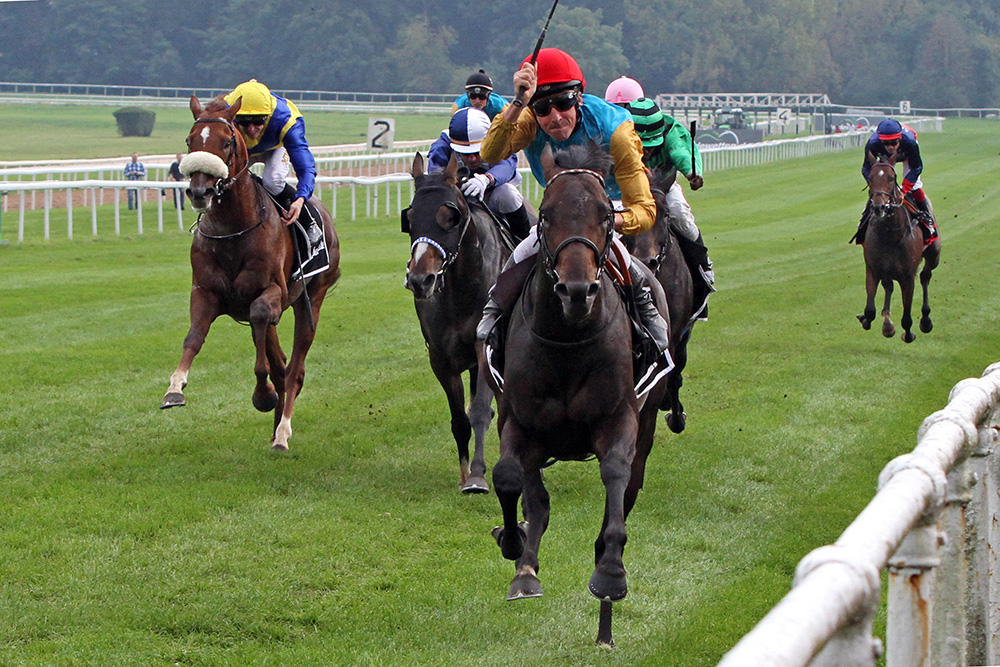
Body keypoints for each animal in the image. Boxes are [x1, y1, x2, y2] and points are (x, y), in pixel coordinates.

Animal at [159, 94, 340, 452]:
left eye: (227, 142)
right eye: (190, 140)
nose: (199, 192)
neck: (234, 229)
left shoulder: (271, 294)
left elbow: (262, 345)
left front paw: (263, 395)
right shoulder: (205, 292)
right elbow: (193, 337)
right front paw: (174, 388)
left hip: (311, 298)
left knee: (294, 367)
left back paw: (282, 432)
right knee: (280, 363)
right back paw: (275, 428)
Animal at [400, 154, 508, 494]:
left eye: (451, 216)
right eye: (410, 217)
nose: (420, 280)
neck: (463, 287)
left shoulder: (485, 348)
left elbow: (480, 412)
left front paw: (477, 476)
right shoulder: (441, 358)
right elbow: (460, 419)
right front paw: (465, 474)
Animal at [482, 142, 668, 648]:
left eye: (606, 214)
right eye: (546, 214)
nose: (578, 290)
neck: (567, 338)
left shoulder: (619, 418)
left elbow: (617, 474)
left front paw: (610, 572)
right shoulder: (518, 420)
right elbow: (508, 477)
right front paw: (515, 547)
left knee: (628, 487)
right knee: (535, 497)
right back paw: (525, 564)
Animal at [856, 159, 940, 342]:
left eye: (891, 178)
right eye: (870, 178)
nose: (879, 207)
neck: (891, 236)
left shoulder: (907, 277)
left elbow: (907, 316)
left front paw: (908, 334)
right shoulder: (873, 270)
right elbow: (870, 310)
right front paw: (868, 319)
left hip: (934, 255)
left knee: (925, 276)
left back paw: (925, 320)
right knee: (889, 286)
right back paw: (887, 323)